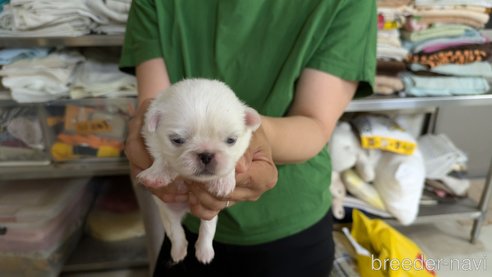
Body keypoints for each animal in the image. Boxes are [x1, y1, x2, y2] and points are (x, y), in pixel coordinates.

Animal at [137, 78, 262, 264]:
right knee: (175, 229)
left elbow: (230, 165)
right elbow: (162, 157)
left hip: (209, 212)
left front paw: (223, 181)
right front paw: (156, 174)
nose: (206, 155)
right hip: (168, 208)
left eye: (231, 140)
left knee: (207, 227)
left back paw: (204, 252)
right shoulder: (150, 138)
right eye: (177, 140)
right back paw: (178, 251)